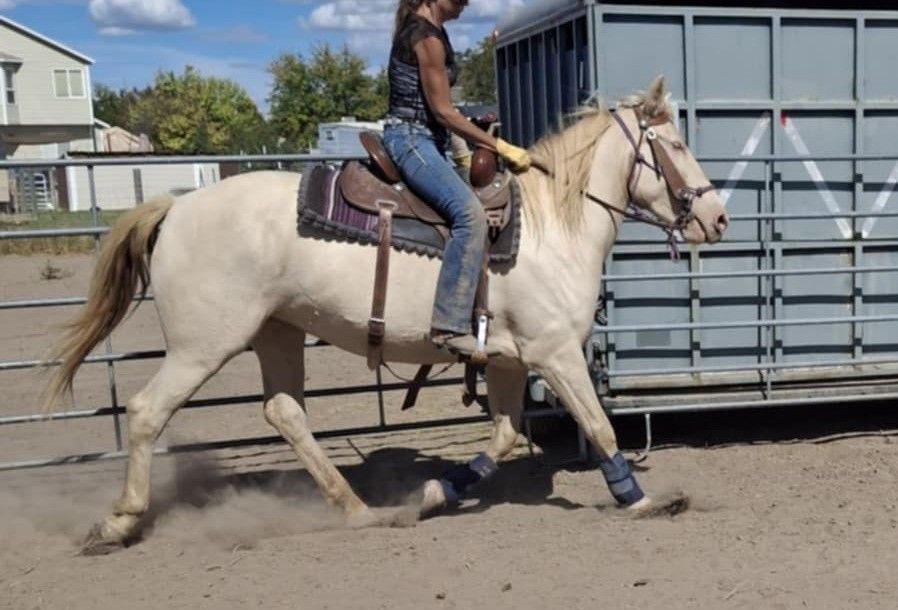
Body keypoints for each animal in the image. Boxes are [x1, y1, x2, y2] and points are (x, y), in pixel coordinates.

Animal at [45, 76, 729, 554]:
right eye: (674, 145)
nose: (717, 217)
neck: (549, 227)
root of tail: (178, 207)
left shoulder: (509, 360)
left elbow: (503, 436)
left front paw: (433, 493)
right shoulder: (555, 353)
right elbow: (600, 427)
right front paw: (641, 499)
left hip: (277, 332)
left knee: (285, 413)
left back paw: (357, 508)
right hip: (202, 344)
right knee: (146, 412)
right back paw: (118, 522)